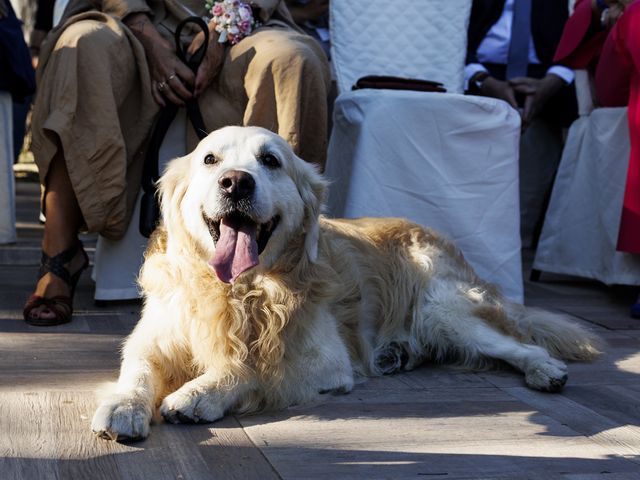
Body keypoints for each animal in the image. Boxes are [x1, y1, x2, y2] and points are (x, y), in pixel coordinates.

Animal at [92, 125, 604, 440]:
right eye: (210, 159)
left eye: (270, 161)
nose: (235, 182)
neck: (240, 290)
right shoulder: (153, 337)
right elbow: (138, 371)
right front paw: (123, 405)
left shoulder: (326, 362)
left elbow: (253, 368)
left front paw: (197, 394)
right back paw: (396, 353)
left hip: (445, 309)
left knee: (519, 343)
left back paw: (546, 370)